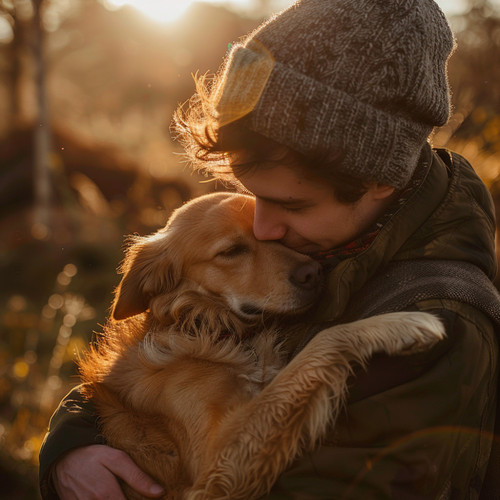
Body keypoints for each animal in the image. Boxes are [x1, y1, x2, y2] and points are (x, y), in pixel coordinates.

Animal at [79, 192, 446, 500]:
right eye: (231, 252)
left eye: (277, 237)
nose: (313, 272)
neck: (207, 328)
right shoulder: (212, 466)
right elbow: (322, 342)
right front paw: (400, 324)